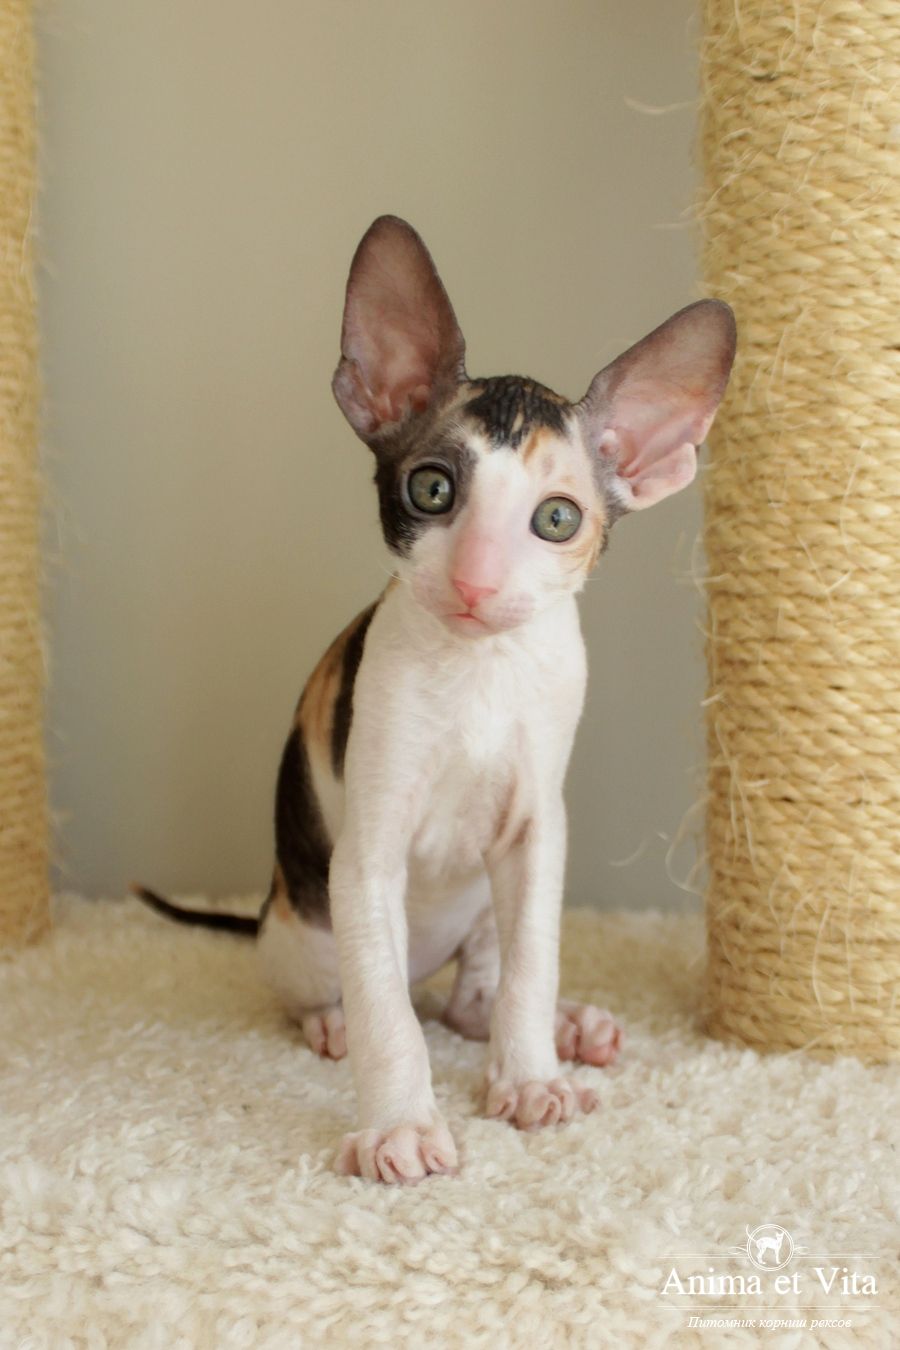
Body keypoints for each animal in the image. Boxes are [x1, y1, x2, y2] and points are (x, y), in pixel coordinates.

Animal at [136, 214, 735, 1184]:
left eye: (557, 519)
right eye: (432, 488)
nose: (477, 582)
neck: (479, 673)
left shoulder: (536, 833)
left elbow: (530, 967)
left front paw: (530, 1078)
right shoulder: (369, 849)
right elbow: (391, 1018)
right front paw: (400, 1127)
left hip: (484, 904)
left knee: (468, 999)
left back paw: (566, 1030)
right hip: (305, 924)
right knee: (357, 990)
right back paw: (333, 1024)